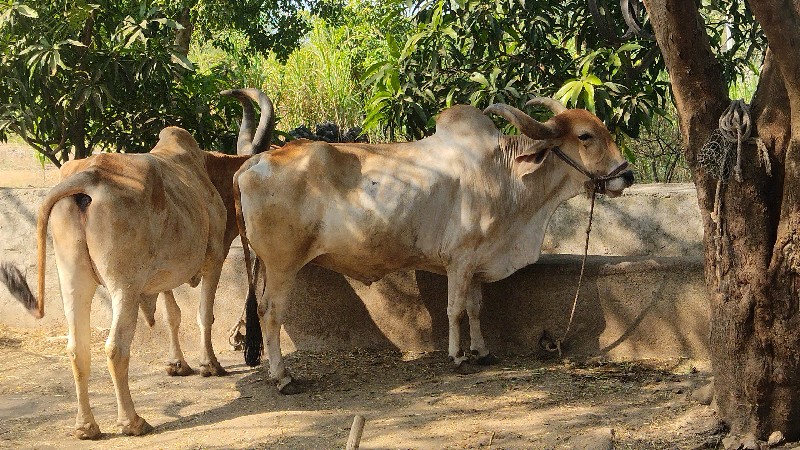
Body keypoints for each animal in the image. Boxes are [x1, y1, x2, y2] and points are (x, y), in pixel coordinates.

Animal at [0, 89, 274, 438]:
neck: (209, 174)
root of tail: (88, 178)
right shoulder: (214, 258)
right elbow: (203, 315)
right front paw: (209, 364)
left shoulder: (164, 275)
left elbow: (173, 315)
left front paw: (177, 364)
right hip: (124, 287)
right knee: (115, 347)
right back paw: (132, 421)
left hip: (73, 279)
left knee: (77, 348)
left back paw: (86, 426)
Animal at [234, 92, 636, 394]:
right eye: (585, 136)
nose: (627, 176)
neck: (504, 173)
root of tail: (253, 162)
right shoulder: (459, 260)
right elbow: (455, 309)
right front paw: (458, 357)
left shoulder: (476, 262)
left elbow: (475, 308)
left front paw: (482, 352)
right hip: (282, 265)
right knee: (270, 313)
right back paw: (283, 378)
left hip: (269, 266)